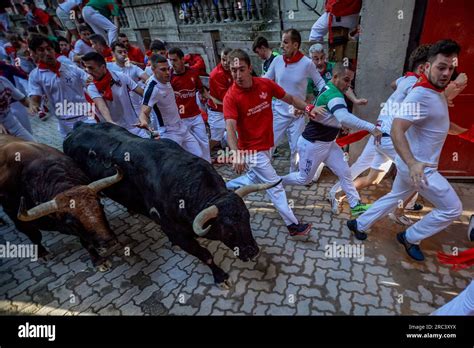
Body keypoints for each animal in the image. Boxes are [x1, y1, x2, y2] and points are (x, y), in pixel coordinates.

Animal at [63, 123, 278, 286]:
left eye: (247, 218)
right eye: (229, 230)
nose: (252, 251)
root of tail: (78, 127)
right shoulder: (177, 233)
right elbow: (205, 254)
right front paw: (220, 277)